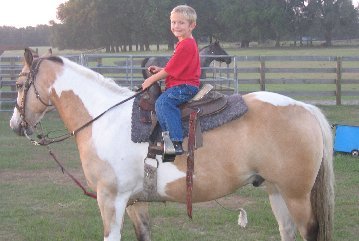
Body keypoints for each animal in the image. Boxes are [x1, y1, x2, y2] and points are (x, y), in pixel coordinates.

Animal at [9, 48, 334, 240]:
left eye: (19, 84)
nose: (15, 125)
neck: (105, 117)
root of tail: (306, 108)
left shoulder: (110, 199)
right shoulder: (135, 201)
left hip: (296, 195)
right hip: (276, 190)